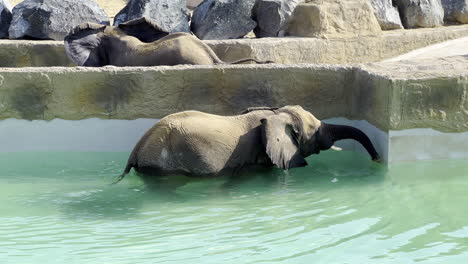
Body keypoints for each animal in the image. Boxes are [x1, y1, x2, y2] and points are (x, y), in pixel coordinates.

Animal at [114, 105, 380, 184]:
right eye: (314, 132)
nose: (377, 159)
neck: (276, 114)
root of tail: (136, 148)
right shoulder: (256, 157)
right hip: (163, 165)